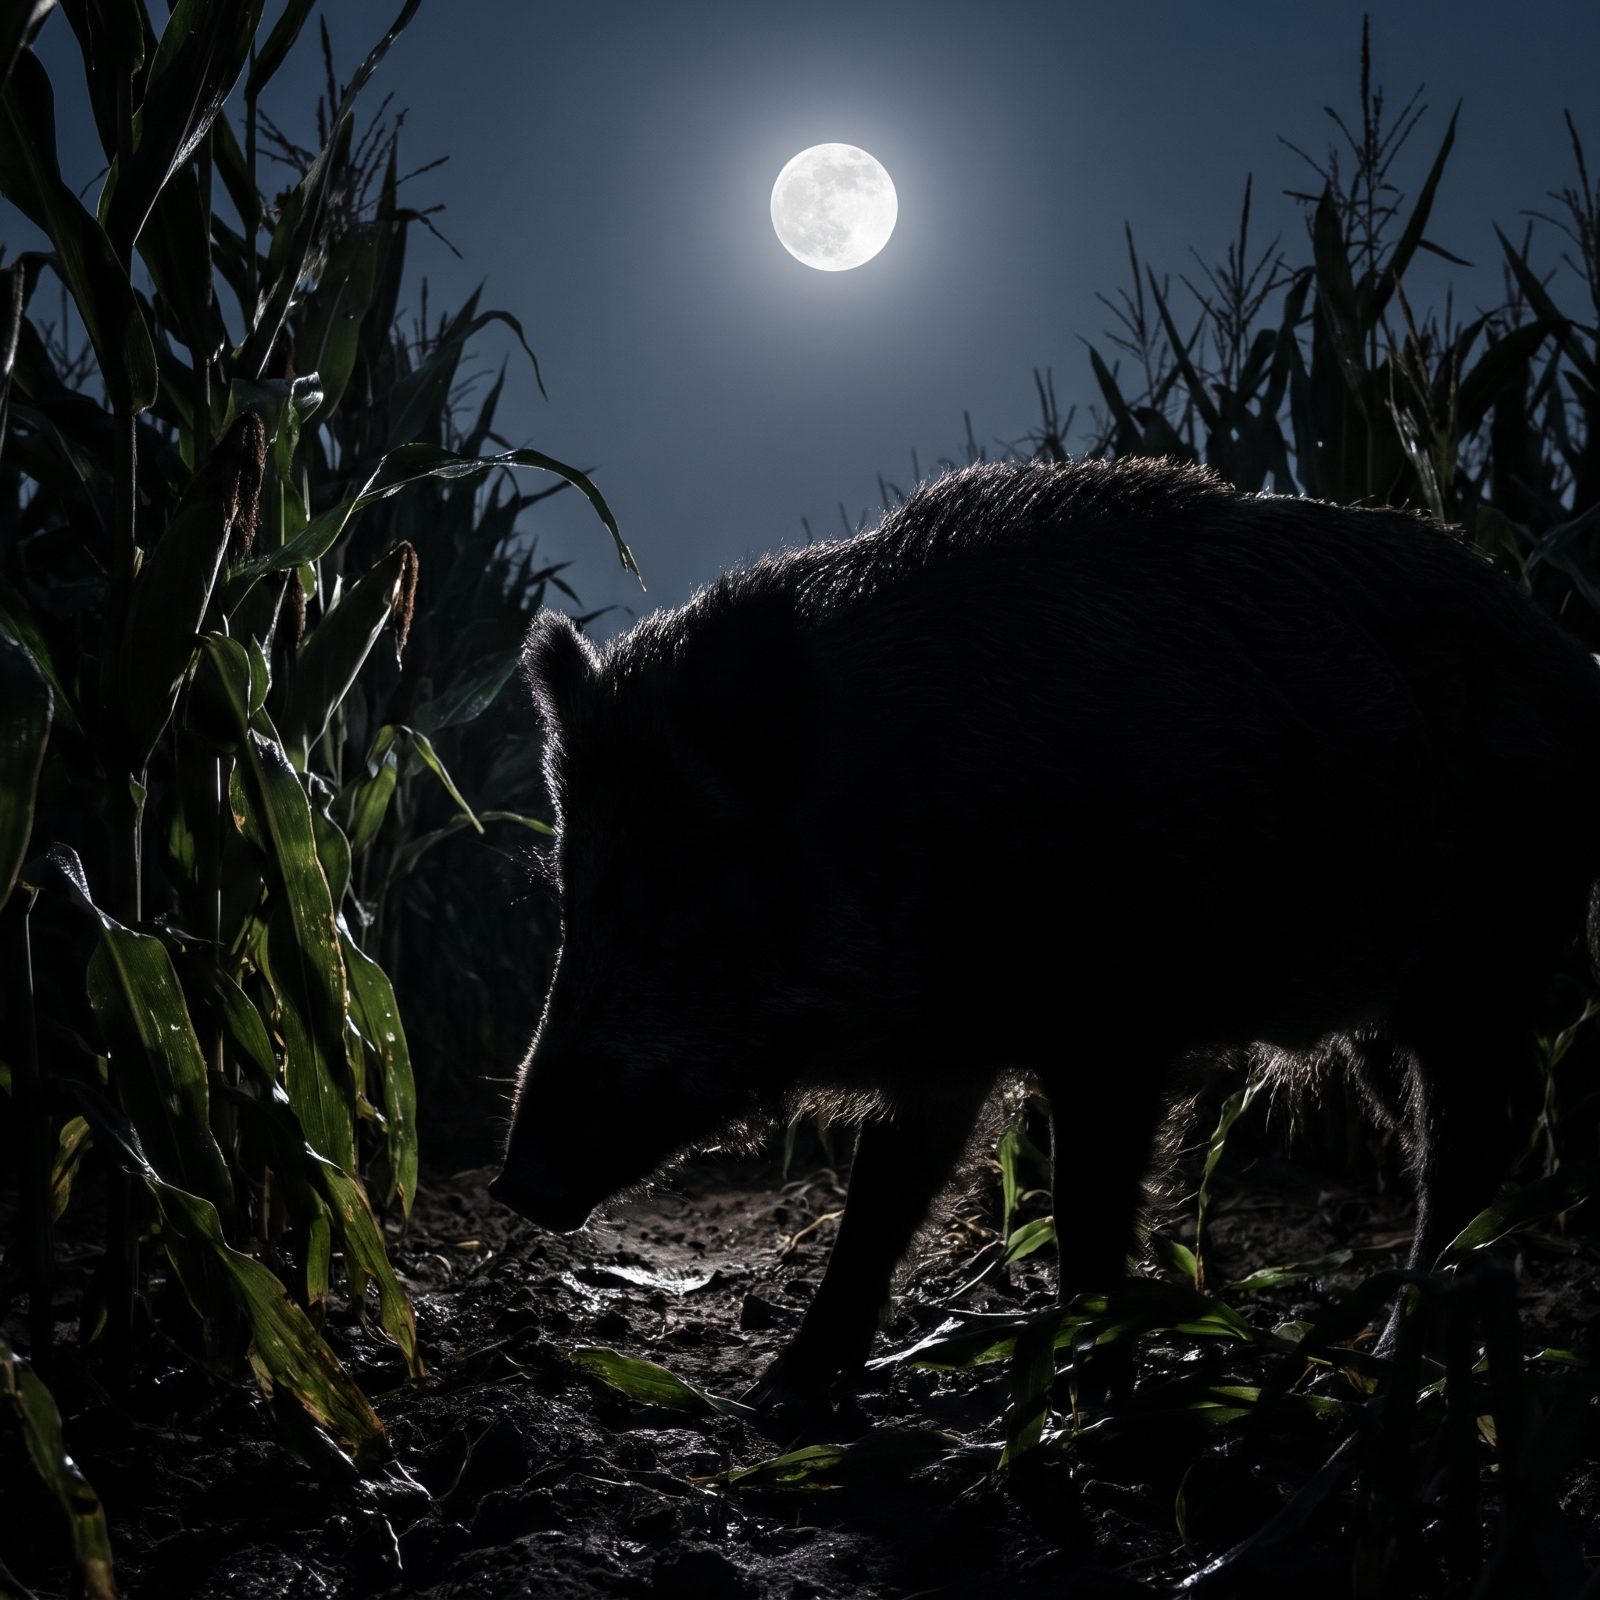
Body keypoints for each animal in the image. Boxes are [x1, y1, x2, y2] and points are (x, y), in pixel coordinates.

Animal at [489, 456, 1600, 1408]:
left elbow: (1084, 1215)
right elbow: (878, 1207)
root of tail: (1563, 651)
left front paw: (1090, 1397)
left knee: (1471, 1144)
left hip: (1480, 969)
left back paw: (1396, 1367)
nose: (516, 1184)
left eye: (690, 886)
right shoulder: (942, 1055)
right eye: (572, 897)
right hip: (1385, 1013)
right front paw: (778, 1397)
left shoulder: (1116, 1034)